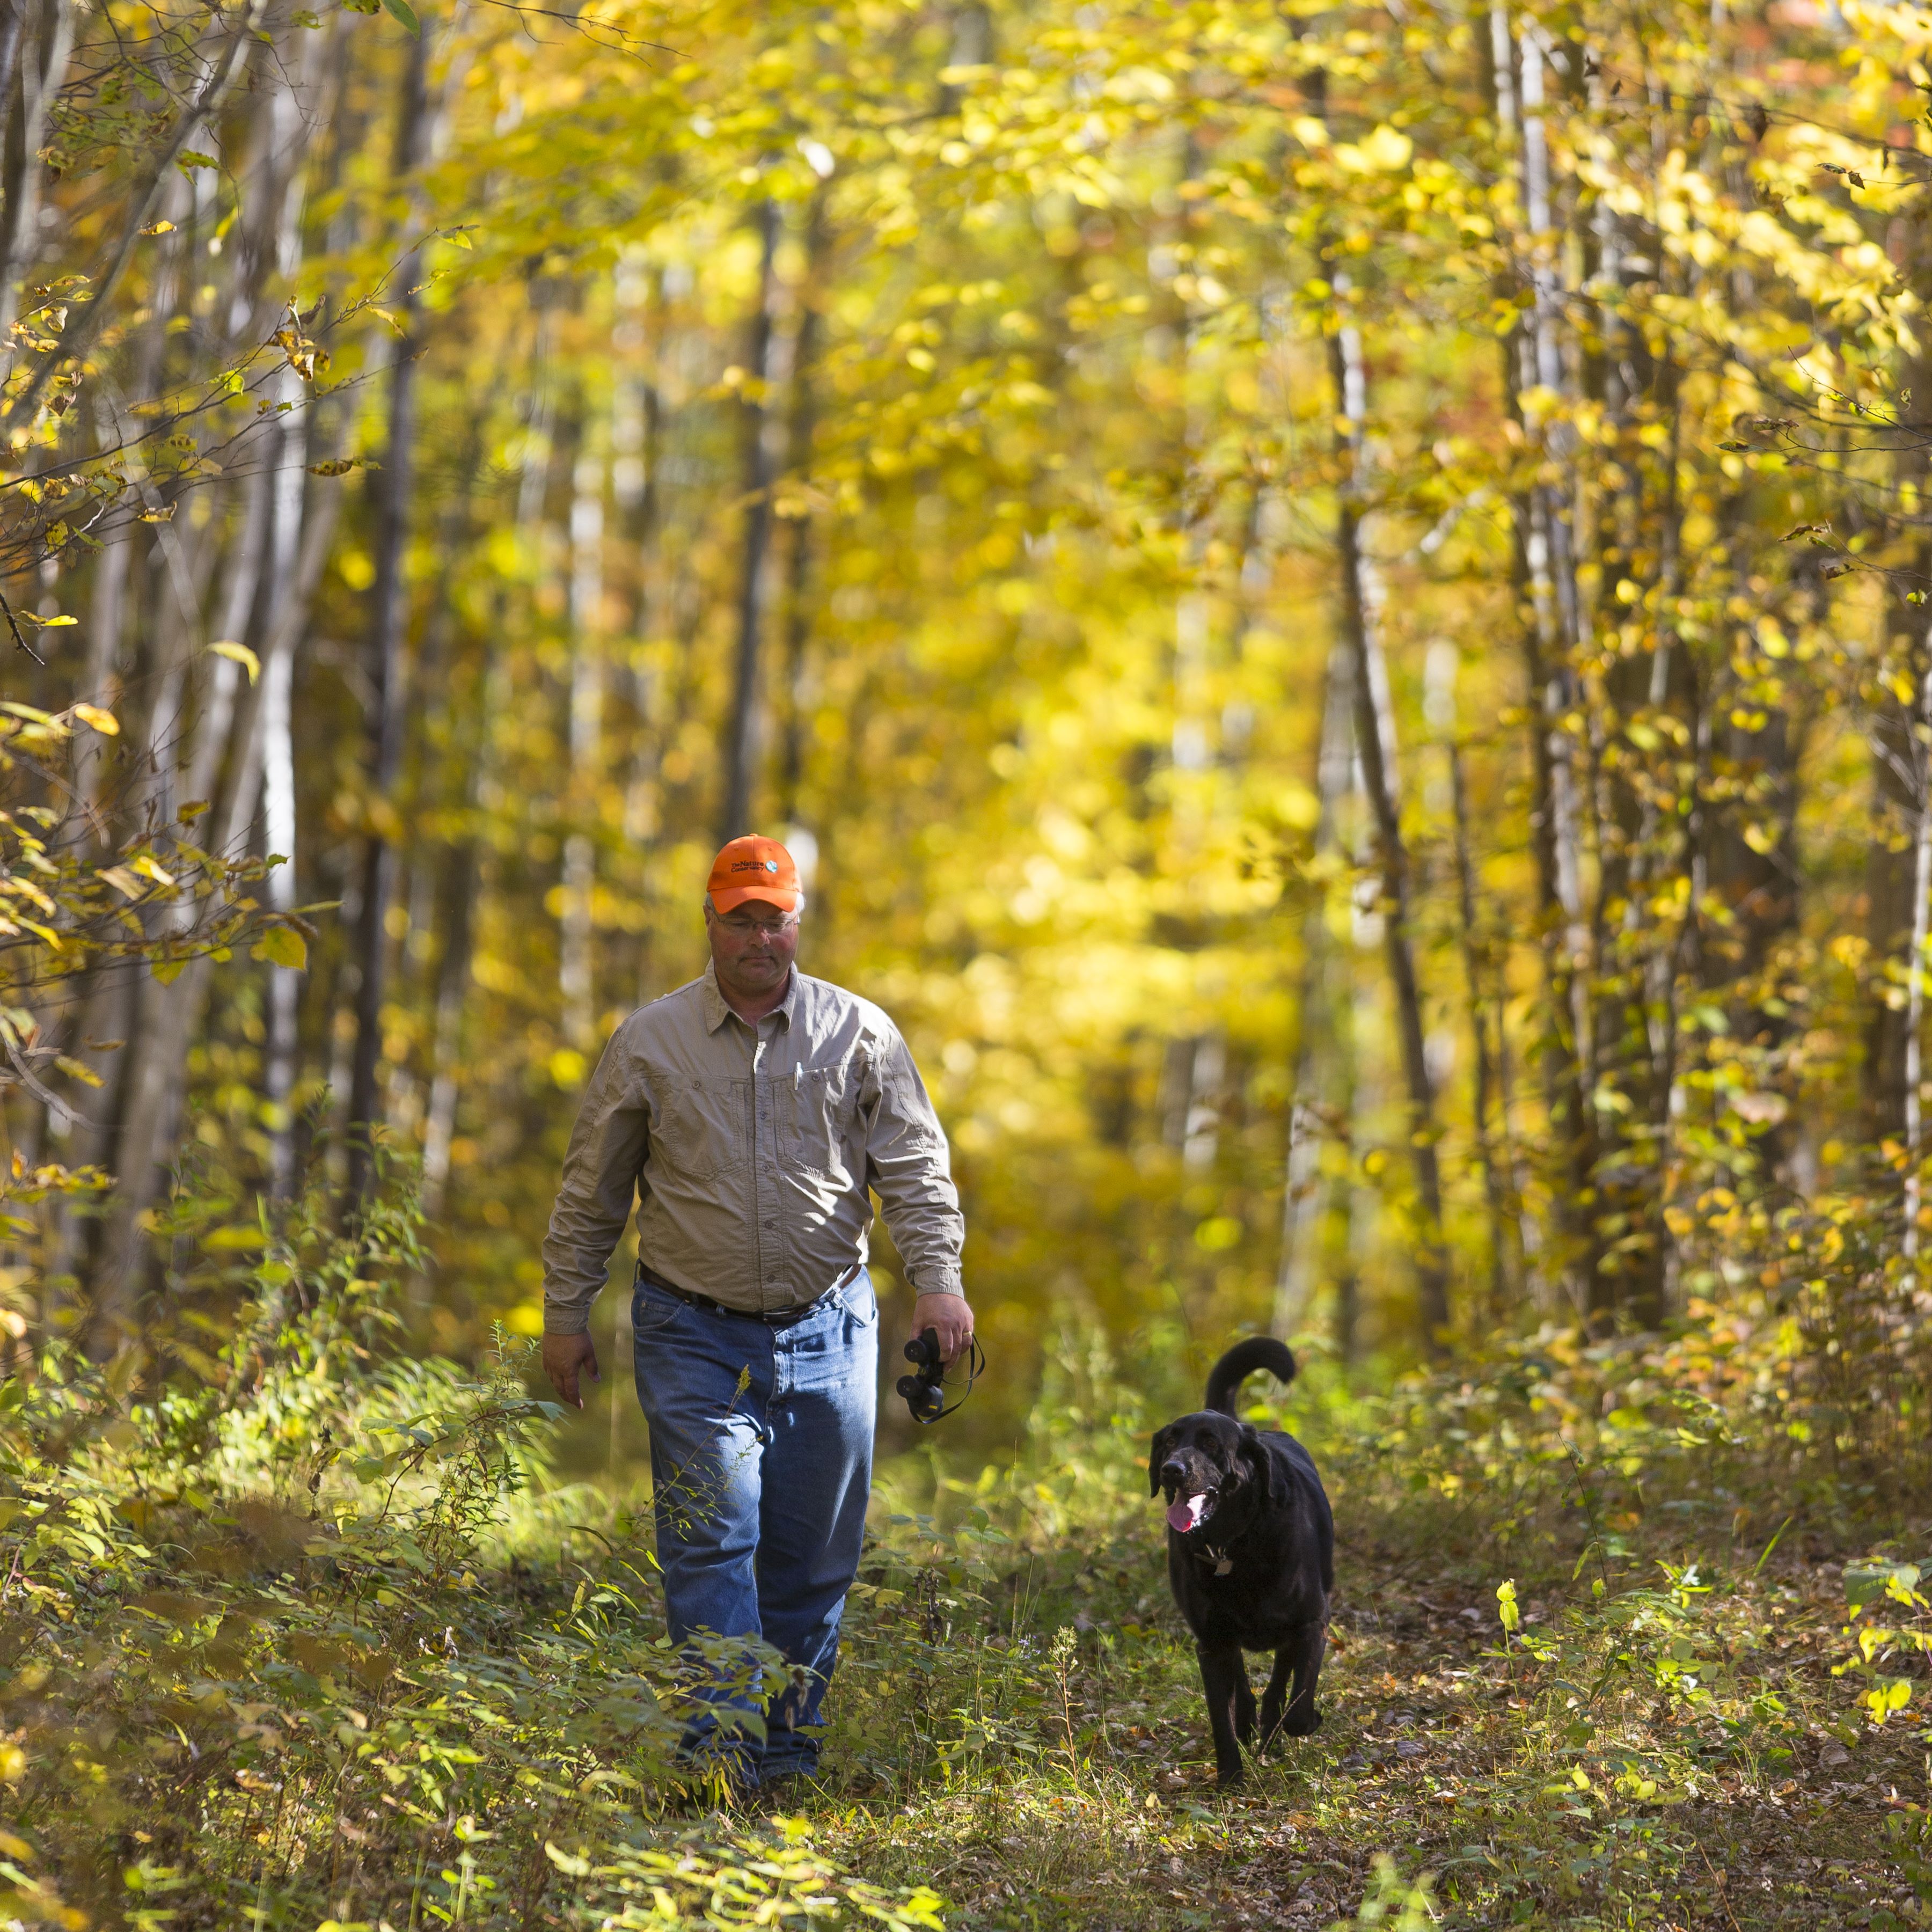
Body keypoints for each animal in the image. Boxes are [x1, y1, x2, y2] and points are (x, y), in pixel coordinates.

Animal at [1144, 1337, 1329, 1785]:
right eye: (1170, 1442)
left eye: (1211, 1444)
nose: (1171, 1469)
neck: (1232, 1545)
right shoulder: (1211, 1644)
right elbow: (1219, 1717)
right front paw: (1230, 1775)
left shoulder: (1311, 1626)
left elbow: (1297, 1705)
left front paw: (1296, 1724)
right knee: (1243, 1687)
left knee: (1278, 1683)